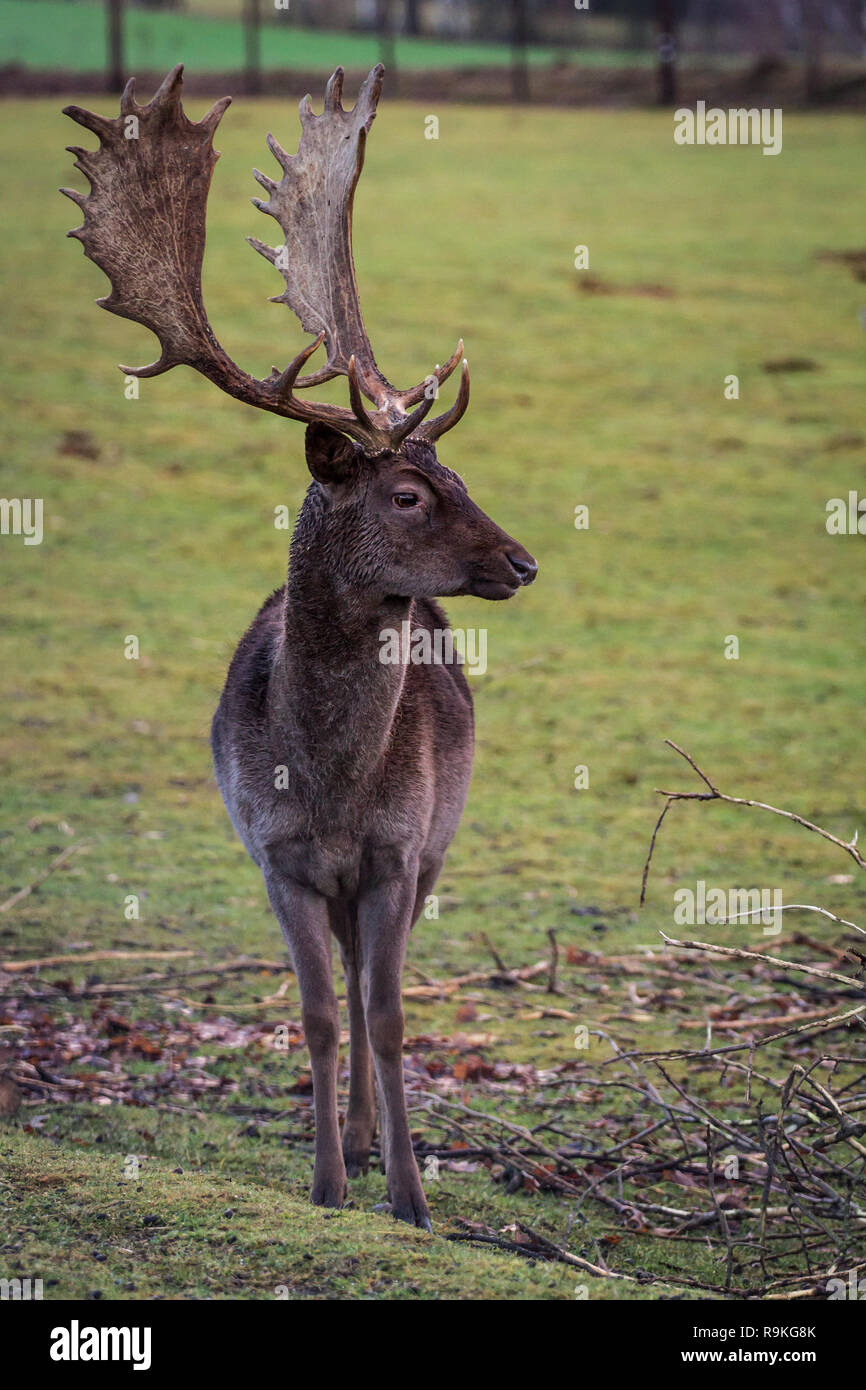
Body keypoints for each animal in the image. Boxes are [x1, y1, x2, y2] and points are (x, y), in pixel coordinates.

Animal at [62, 65, 536, 1234]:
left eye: (457, 477)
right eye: (407, 493)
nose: (521, 560)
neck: (324, 782)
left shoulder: (399, 853)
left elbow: (390, 1017)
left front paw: (410, 1197)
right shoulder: (274, 856)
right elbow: (319, 1017)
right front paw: (324, 1183)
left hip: (437, 847)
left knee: (377, 987)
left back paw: (374, 1144)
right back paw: (351, 1144)